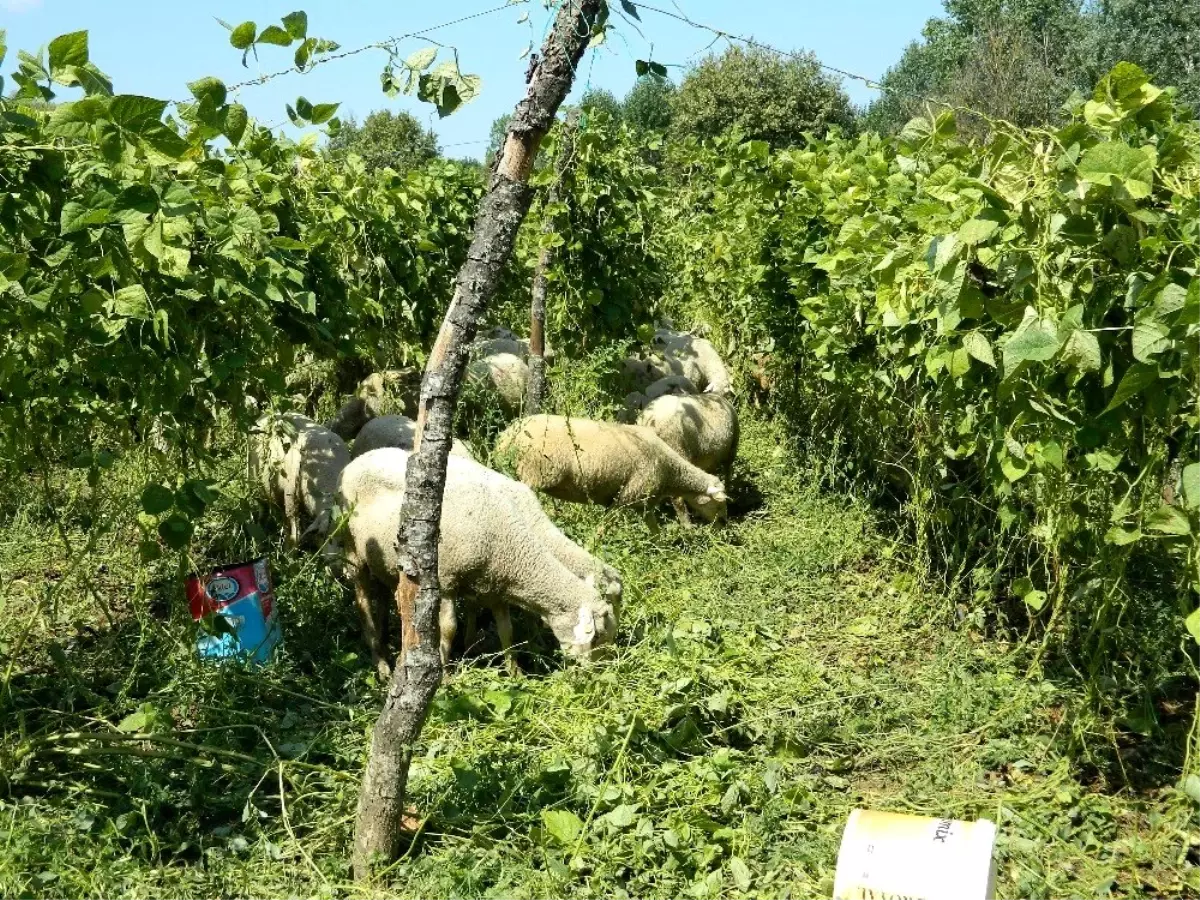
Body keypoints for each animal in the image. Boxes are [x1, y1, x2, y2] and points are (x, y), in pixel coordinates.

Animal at [248, 412, 350, 547]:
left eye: (344, 543)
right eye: (323, 537)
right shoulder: (291, 498)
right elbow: (294, 534)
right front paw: (291, 550)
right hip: (256, 485)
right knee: (263, 510)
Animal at [336, 448, 619, 681]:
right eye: (598, 638)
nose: (602, 674)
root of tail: (354, 461)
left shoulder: (494, 586)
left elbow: (506, 631)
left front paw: (514, 673)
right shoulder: (446, 581)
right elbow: (449, 628)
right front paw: (445, 674)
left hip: (384, 559)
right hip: (352, 547)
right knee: (362, 597)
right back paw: (380, 661)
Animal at [494, 417, 724, 525]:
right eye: (719, 503)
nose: (722, 525)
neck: (670, 470)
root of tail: (505, 437)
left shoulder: (643, 506)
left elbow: (655, 533)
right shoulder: (624, 499)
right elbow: (602, 529)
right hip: (533, 473)